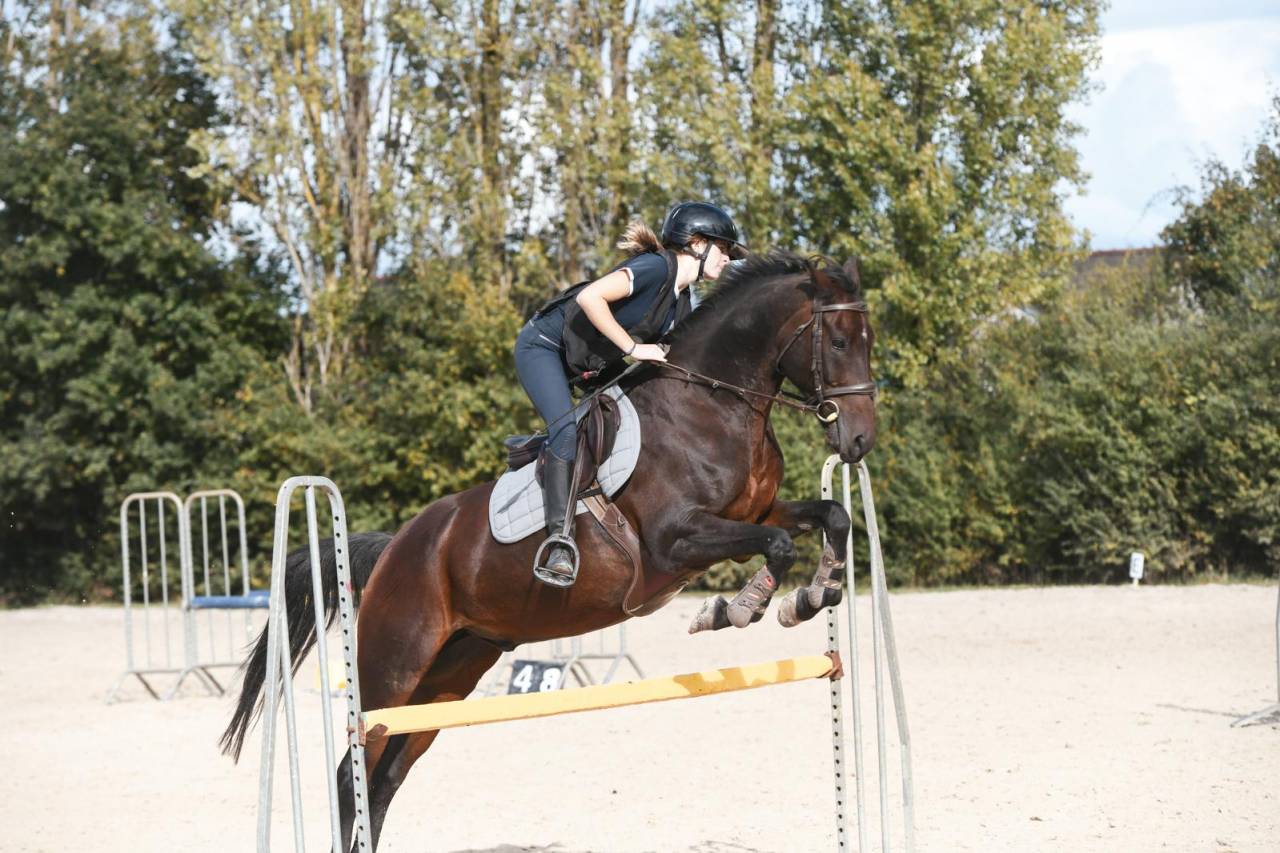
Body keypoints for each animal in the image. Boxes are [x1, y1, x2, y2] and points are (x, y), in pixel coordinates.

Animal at [220, 250, 877, 851]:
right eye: (841, 340)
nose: (860, 440)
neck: (714, 404)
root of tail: (393, 549)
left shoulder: (753, 513)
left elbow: (830, 518)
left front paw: (818, 592)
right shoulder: (676, 540)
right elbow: (775, 547)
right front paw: (737, 609)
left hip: (451, 675)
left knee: (384, 782)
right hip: (394, 667)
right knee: (350, 774)